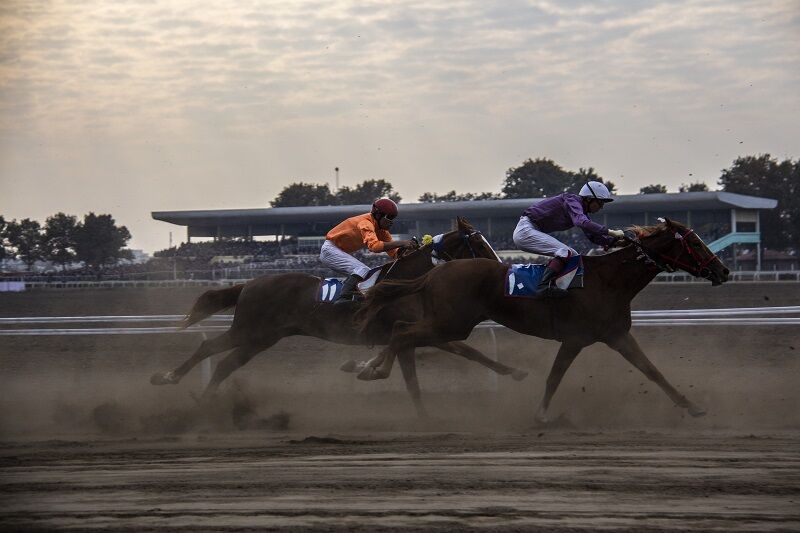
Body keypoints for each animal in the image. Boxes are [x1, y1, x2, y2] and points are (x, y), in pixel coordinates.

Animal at [151, 216, 528, 416]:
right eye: (478, 245)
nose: (501, 268)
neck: (409, 281)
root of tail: (251, 283)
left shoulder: (425, 331)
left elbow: (467, 353)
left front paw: (515, 372)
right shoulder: (410, 333)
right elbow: (413, 378)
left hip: (263, 337)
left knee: (226, 363)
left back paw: (202, 400)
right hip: (250, 330)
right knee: (209, 348)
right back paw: (169, 379)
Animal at [356, 218, 732, 422]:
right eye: (695, 244)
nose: (724, 271)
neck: (608, 279)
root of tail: (435, 271)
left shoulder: (616, 335)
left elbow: (652, 371)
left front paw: (693, 406)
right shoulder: (575, 338)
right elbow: (554, 377)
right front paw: (541, 414)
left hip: (449, 322)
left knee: (402, 332)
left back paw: (378, 372)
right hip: (450, 321)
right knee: (402, 333)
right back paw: (375, 370)